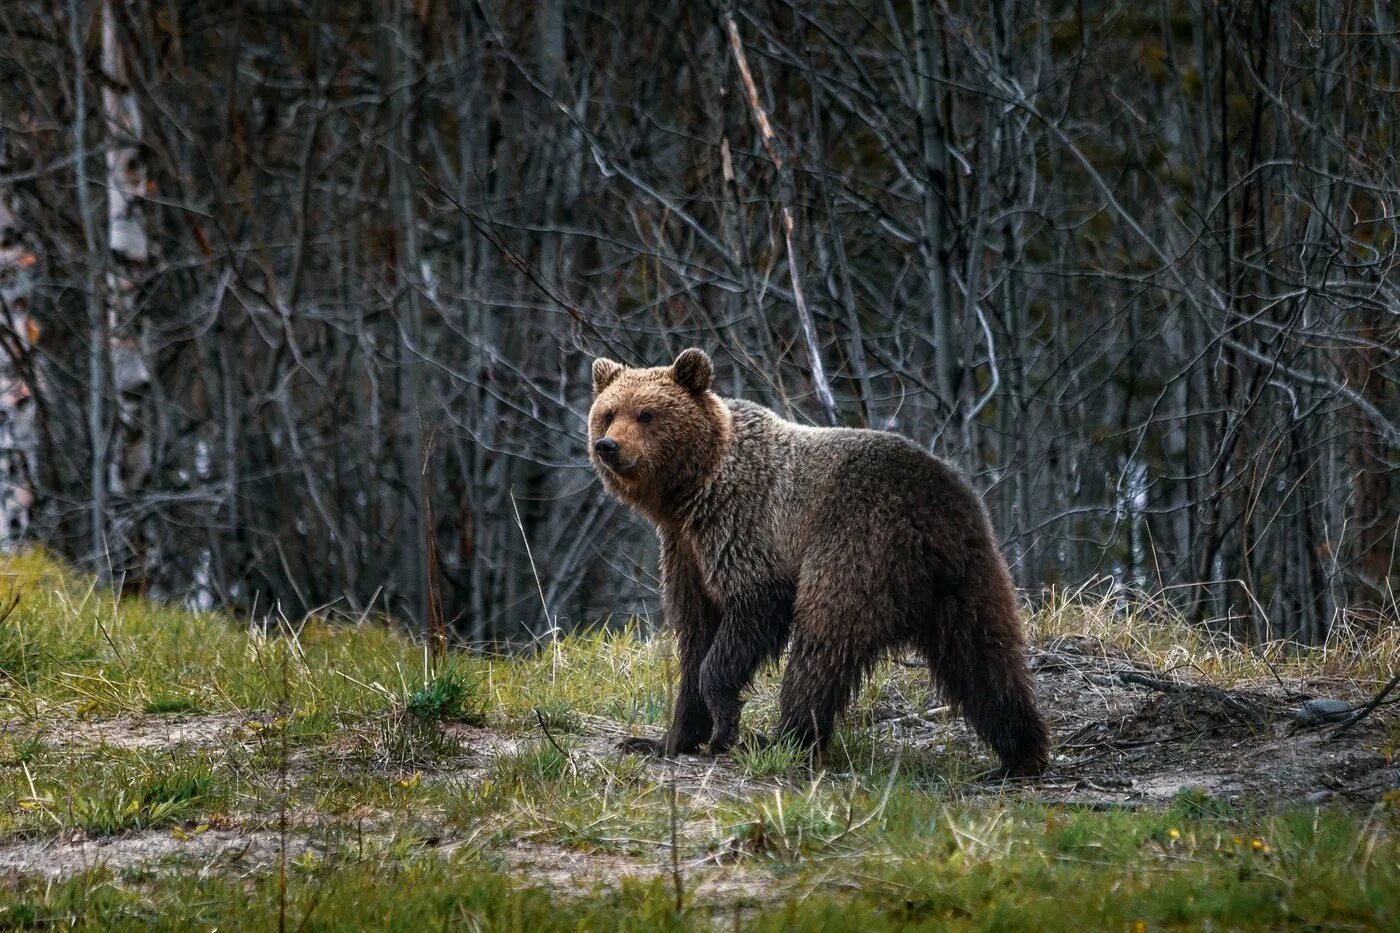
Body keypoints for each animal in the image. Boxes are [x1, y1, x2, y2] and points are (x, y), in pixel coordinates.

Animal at [585, 344, 1047, 773]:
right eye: (608, 413)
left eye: (646, 414)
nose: (608, 446)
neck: (693, 491)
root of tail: (933, 509)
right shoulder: (685, 551)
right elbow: (695, 636)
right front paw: (664, 739)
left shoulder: (744, 526)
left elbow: (750, 611)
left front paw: (724, 722)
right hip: (968, 572)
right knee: (984, 654)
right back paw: (1021, 752)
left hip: (856, 547)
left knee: (822, 647)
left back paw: (785, 739)